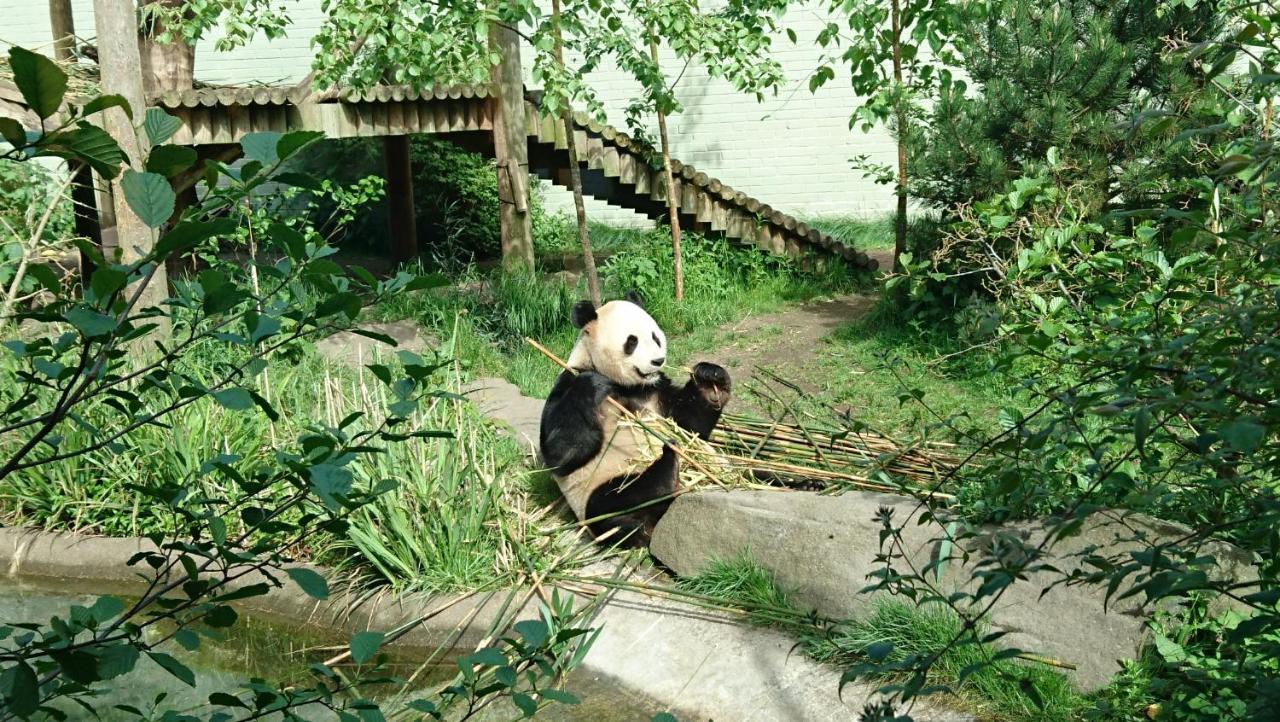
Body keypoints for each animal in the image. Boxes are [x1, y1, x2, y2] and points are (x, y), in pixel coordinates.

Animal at [537, 294, 732, 547]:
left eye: (655, 337)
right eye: (632, 342)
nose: (658, 361)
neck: (629, 387)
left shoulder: (657, 392)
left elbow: (689, 425)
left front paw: (710, 378)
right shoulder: (567, 381)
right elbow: (561, 453)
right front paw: (592, 383)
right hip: (598, 487)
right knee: (613, 502)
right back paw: (667, 471)